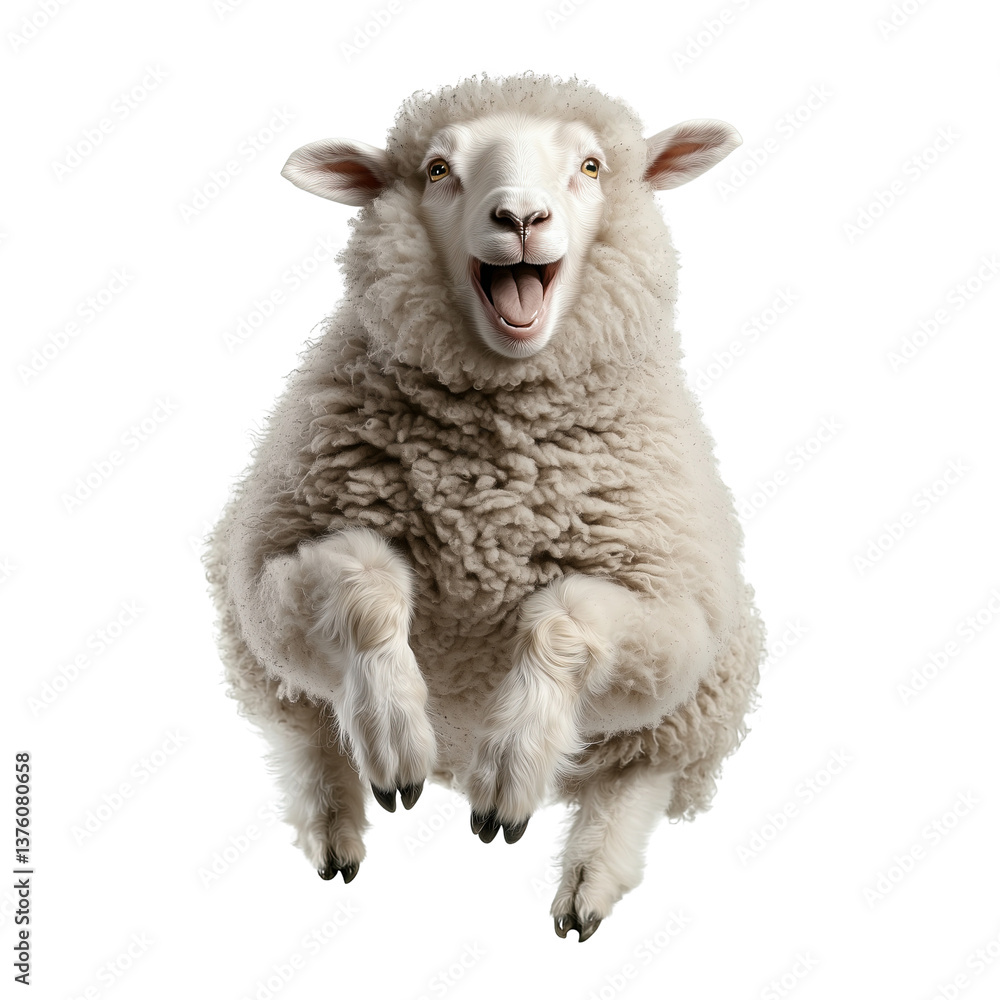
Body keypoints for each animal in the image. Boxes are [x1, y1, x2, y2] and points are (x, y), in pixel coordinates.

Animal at [205, 73, 764, 942]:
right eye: (438, 169)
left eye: (592, 166)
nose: (522, 218)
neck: (494, 478)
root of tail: (453, 759)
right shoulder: (271, 567)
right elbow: (367, 584)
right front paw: (393, 734)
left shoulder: (675, 617)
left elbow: (565, 618)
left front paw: (511, 769)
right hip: (251, 640)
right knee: (303, 729)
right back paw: (335, 821)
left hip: (701, 691)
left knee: (634, 781)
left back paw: (586, 880)